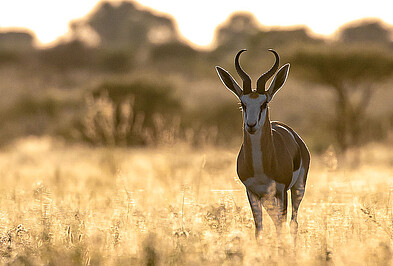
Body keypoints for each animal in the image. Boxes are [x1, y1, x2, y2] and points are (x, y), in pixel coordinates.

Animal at [214, 48, 310, 242]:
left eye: (264, 102)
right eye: (242, 103)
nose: (251, 125)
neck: (260, 167)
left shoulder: (281, 191)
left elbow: (281, 226)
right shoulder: (252, 192)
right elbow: (259, 229)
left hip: (297, 188)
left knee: (293, 223)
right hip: (267, 198)